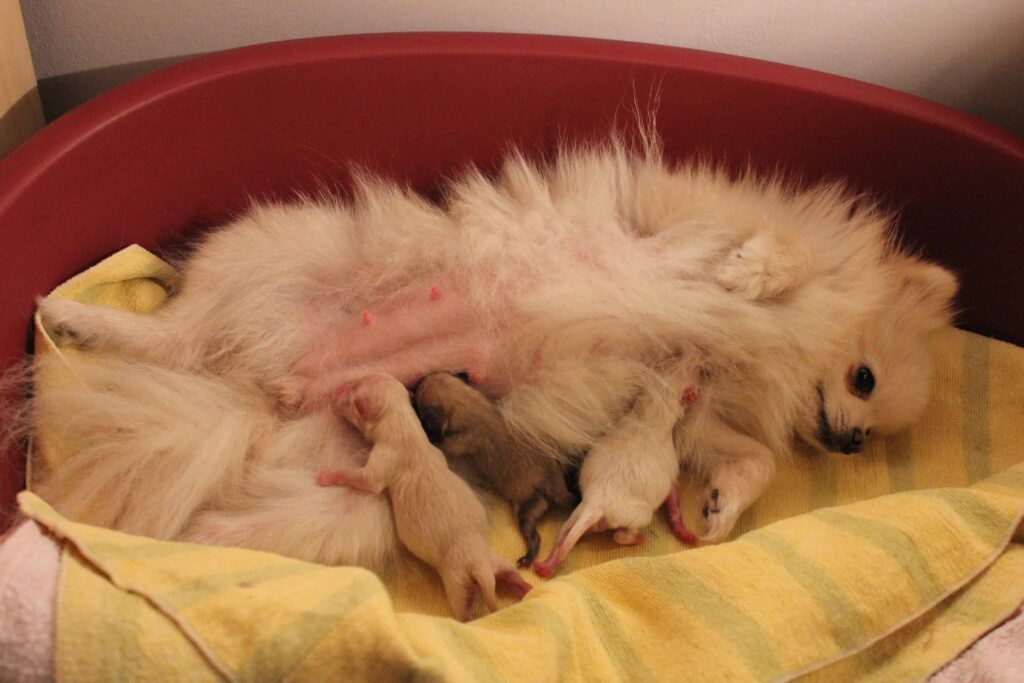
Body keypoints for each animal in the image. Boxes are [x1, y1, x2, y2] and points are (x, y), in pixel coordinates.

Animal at [315, 374, 532, 618]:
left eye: (352, 393)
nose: (335, 392)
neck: (405, 425)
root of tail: (481, 566)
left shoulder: (385, 457)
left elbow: (367, 481)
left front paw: (327, 476)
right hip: (496, 559)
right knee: (510, 574)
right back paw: (526, 588)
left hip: (457, 579)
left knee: (463, 608)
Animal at [413, 370, 577, 569]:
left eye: (419, 407)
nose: (414, 385)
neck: (472, 406)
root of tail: (551, 480)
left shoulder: (458, 442)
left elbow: (440, 443)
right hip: (533, 506)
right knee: (536, 536)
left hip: (524, 511)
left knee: (534, 538)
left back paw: (526, 558)